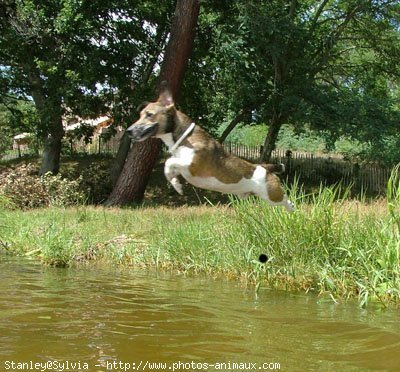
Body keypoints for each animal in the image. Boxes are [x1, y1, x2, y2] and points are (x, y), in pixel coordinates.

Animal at [126, 88, 296, 212]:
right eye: (140, 114)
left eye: (149, 115)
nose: (128, 131)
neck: (186, 137)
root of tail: (264, 167)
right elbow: (169, 169)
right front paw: (176, 185)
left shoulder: (192, 165)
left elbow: (169, 161)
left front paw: (177, 186)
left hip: (272, 195)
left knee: (287, 202)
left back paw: (292, 210)